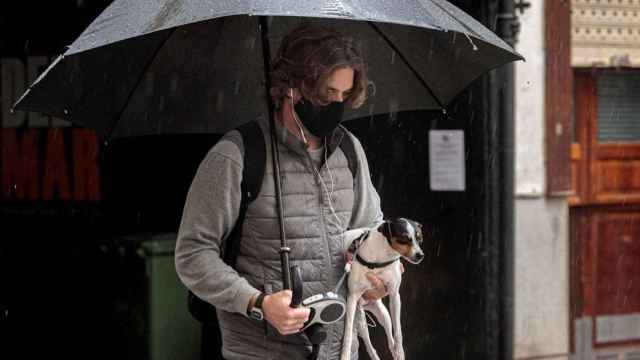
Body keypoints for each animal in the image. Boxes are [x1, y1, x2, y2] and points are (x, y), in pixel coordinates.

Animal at [340, 218, 424, 358]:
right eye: (404, 238)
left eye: (420, 239)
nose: (420, 255)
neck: (383, 256)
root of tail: (365, 304)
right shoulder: (352, 298)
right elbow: (347, 334)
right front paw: (344, 355)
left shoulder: (394, 296)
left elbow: (398, 331)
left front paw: (400, 351)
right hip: (360, 318)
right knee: (369, 344)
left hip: (384, 315)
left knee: (390, 338)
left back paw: (395, 352)